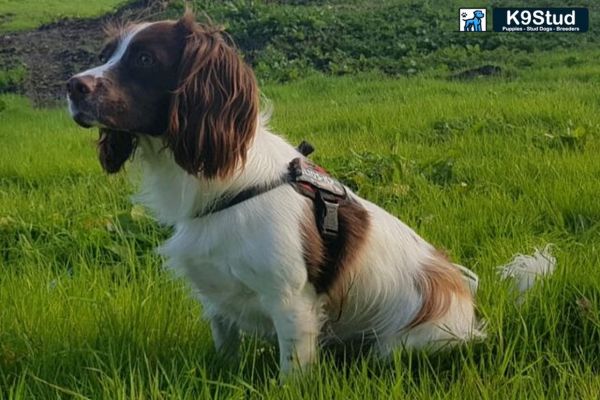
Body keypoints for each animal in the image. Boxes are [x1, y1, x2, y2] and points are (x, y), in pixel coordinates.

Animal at [65, 10, 480, 376]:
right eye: (105, 56)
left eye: (145, 59)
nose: (72, 86)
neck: (225, 181)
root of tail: (465, 301)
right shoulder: (217, 299)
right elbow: (225, 349)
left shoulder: (291, 301)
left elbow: (291, 372)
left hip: (402, 344)